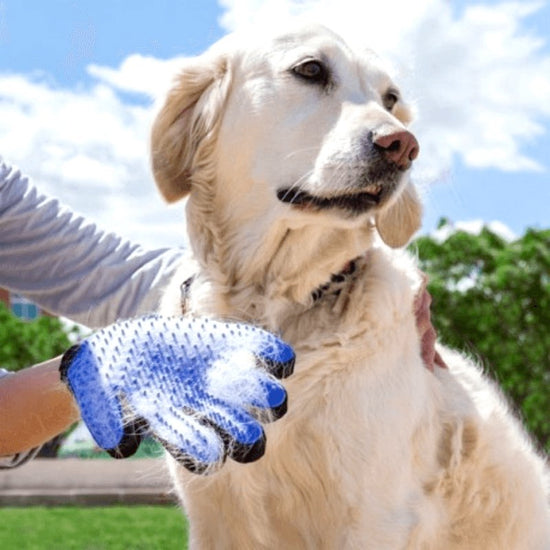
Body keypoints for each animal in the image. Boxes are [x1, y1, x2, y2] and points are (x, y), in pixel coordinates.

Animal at [151, 24, 550, 550]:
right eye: (310, 69)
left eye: (391, 98)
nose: (402, 145)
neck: (271, 303)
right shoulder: (213, 518)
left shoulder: (373, 516)